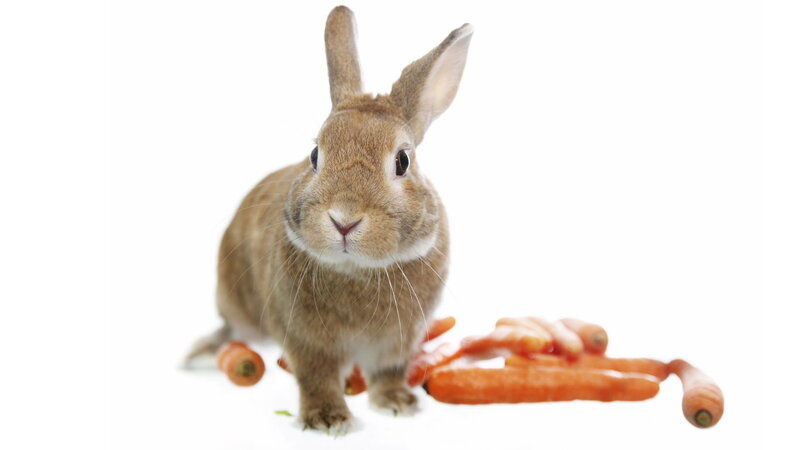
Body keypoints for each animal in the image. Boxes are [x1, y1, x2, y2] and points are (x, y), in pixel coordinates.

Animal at [184, 5, 473, 433]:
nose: (344, 220)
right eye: (315, 155)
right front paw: (328, 420)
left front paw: (398, 404)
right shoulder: (306, 339)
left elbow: (387, 371)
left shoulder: (398, 342)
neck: (358, 270)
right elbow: (316, 375)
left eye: (403, 161)